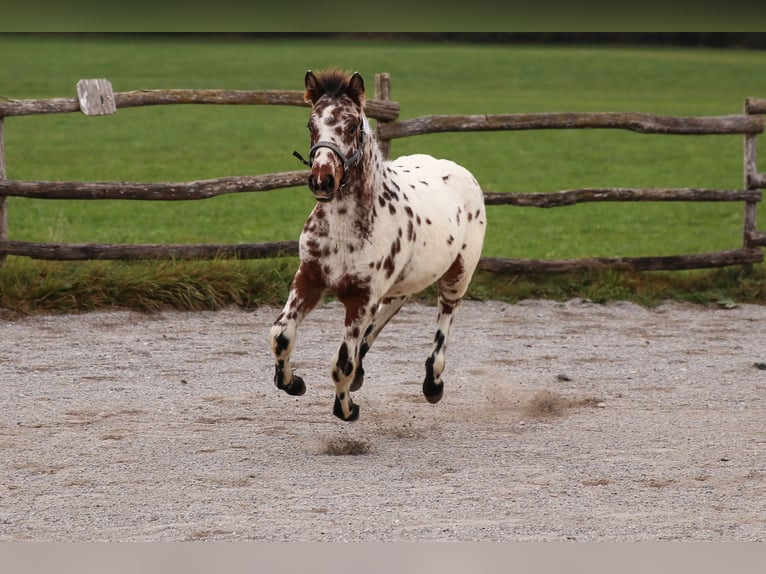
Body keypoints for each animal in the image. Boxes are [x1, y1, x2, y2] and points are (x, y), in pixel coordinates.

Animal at [269, 69, 486, 421]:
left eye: (352, 125)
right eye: (311, 125)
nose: (322, 181)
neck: (344, 228)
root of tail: (457, 169)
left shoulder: (362, 296)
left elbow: (341, 363)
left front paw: (346, 409)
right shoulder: (309, 278)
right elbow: (282, 335)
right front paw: (292, 382)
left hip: (458, 274)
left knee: (446, 314)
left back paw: (433, 383)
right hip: (404, 278)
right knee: (395, 305)